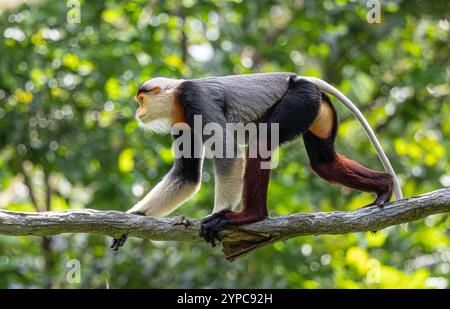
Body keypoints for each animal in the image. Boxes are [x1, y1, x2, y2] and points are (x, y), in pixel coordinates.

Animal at [110, 73, 404, 250]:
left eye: (142, 99)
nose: (138, 111)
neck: (176, 95)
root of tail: (299, 78)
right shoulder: (181, 119)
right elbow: (187, 177)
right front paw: (132, 218)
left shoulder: (195, 100)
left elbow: (229, 154)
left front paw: (219, 214)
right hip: (316, 108)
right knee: (323, 161)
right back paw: (384, 185)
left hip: (301, 99)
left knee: (261, 141)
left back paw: (249, 215)